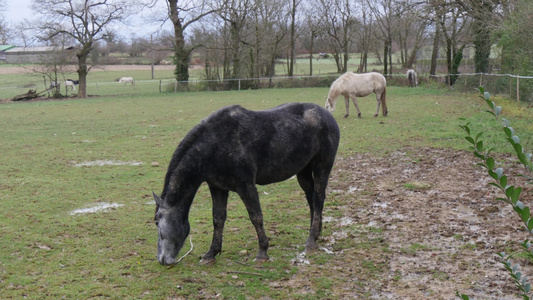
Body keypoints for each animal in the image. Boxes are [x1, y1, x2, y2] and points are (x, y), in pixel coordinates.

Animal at [153, 102, 340, 264]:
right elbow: (218, 219)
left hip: (322, 167)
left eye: (157, 222)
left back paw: (311, 240)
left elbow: (256, 217)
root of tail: (327, 115)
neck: (214, 144)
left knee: (318, 198)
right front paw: (211, 253)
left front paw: (262, 252)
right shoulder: (217, 187)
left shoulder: (246, 186)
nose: (162, 260)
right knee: (311, 199)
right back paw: (315, 233)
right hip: (303, 171)